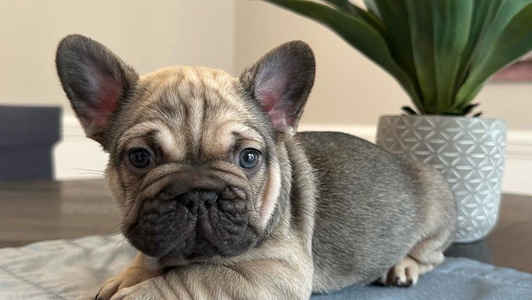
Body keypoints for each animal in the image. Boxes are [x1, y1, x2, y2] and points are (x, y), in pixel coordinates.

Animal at [57, 34, 458, 298]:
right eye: (140, 157)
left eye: (248, 158)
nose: (198, 194)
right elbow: (150, 256)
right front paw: (128, 275)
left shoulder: (276, 272)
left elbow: (195, 278)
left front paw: (139, 290)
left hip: (435, 216)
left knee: (432, 255)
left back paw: (402, 266)